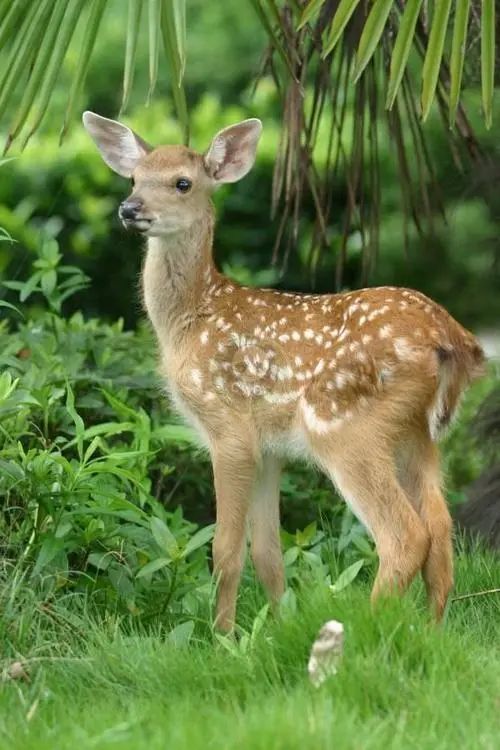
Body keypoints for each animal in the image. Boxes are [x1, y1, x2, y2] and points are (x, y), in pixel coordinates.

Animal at [82, 110, 484, 628]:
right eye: (133, 178)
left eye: (182, 183)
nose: (129, 208)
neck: (192, 318)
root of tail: (453, 339)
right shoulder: (269, 447)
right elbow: (267, 554)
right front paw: (276, 626)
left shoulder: (228, 426)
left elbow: (225, 550)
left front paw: (223, 635)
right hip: (419, 433)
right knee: (441, 532)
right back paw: (429, 631)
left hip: (342, 424)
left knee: (405, 536)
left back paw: (361, 627)